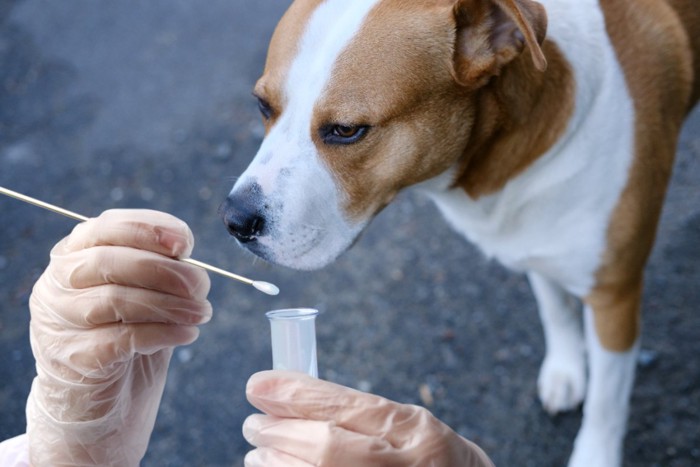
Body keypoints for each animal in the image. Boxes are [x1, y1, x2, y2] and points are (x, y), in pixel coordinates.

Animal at [220, 1, 700, 466]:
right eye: (263, 106)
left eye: (346, 130)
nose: (234, 219)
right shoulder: (535, 236)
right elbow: (556, 309)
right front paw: (566, 369)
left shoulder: (615, 296)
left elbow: (606, 402)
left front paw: (594, 454)